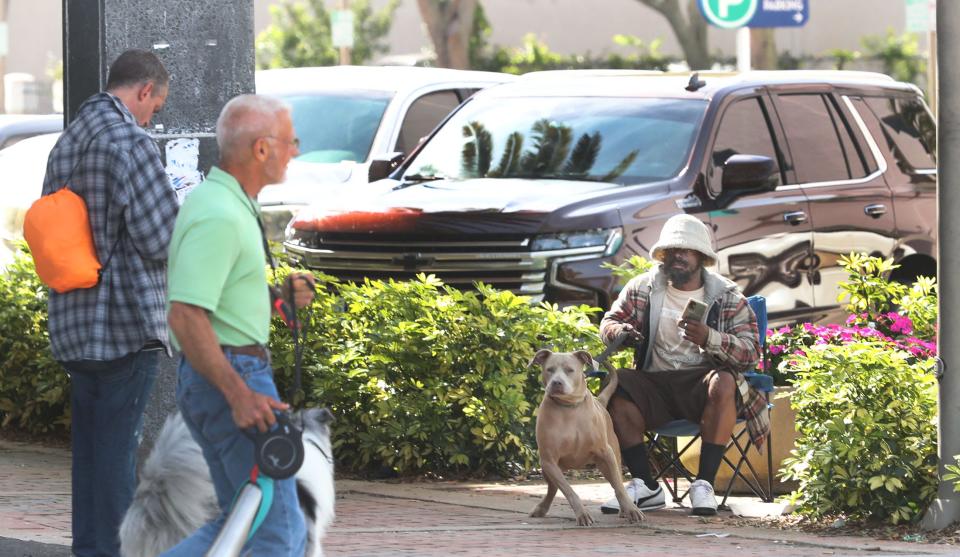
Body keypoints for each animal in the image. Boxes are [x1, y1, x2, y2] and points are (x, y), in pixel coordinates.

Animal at [524, 350, 644, 524]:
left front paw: (631, 509)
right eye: (549, 369)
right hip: (549, 469)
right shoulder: (549, 459)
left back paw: (624, 509)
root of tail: (599, 401)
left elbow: (619, 487)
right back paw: (541, 508)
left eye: (569, 370)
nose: (556, 383)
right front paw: (582, 514)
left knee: (616, 483)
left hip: (610, 460)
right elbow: (568, 490)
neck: (569, 407)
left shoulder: (607, 453)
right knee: (552, 488)